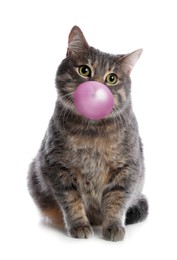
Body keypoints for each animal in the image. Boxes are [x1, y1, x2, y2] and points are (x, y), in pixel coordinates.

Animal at [28, 25, 148, 241]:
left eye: (111, 78)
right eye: (84, 70)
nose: (96, 88)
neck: (92, 131)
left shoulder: (126, 169)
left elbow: (116, 201)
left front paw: (113, 226)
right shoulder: (58, 166)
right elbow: (71, 201)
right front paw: (79, 225)